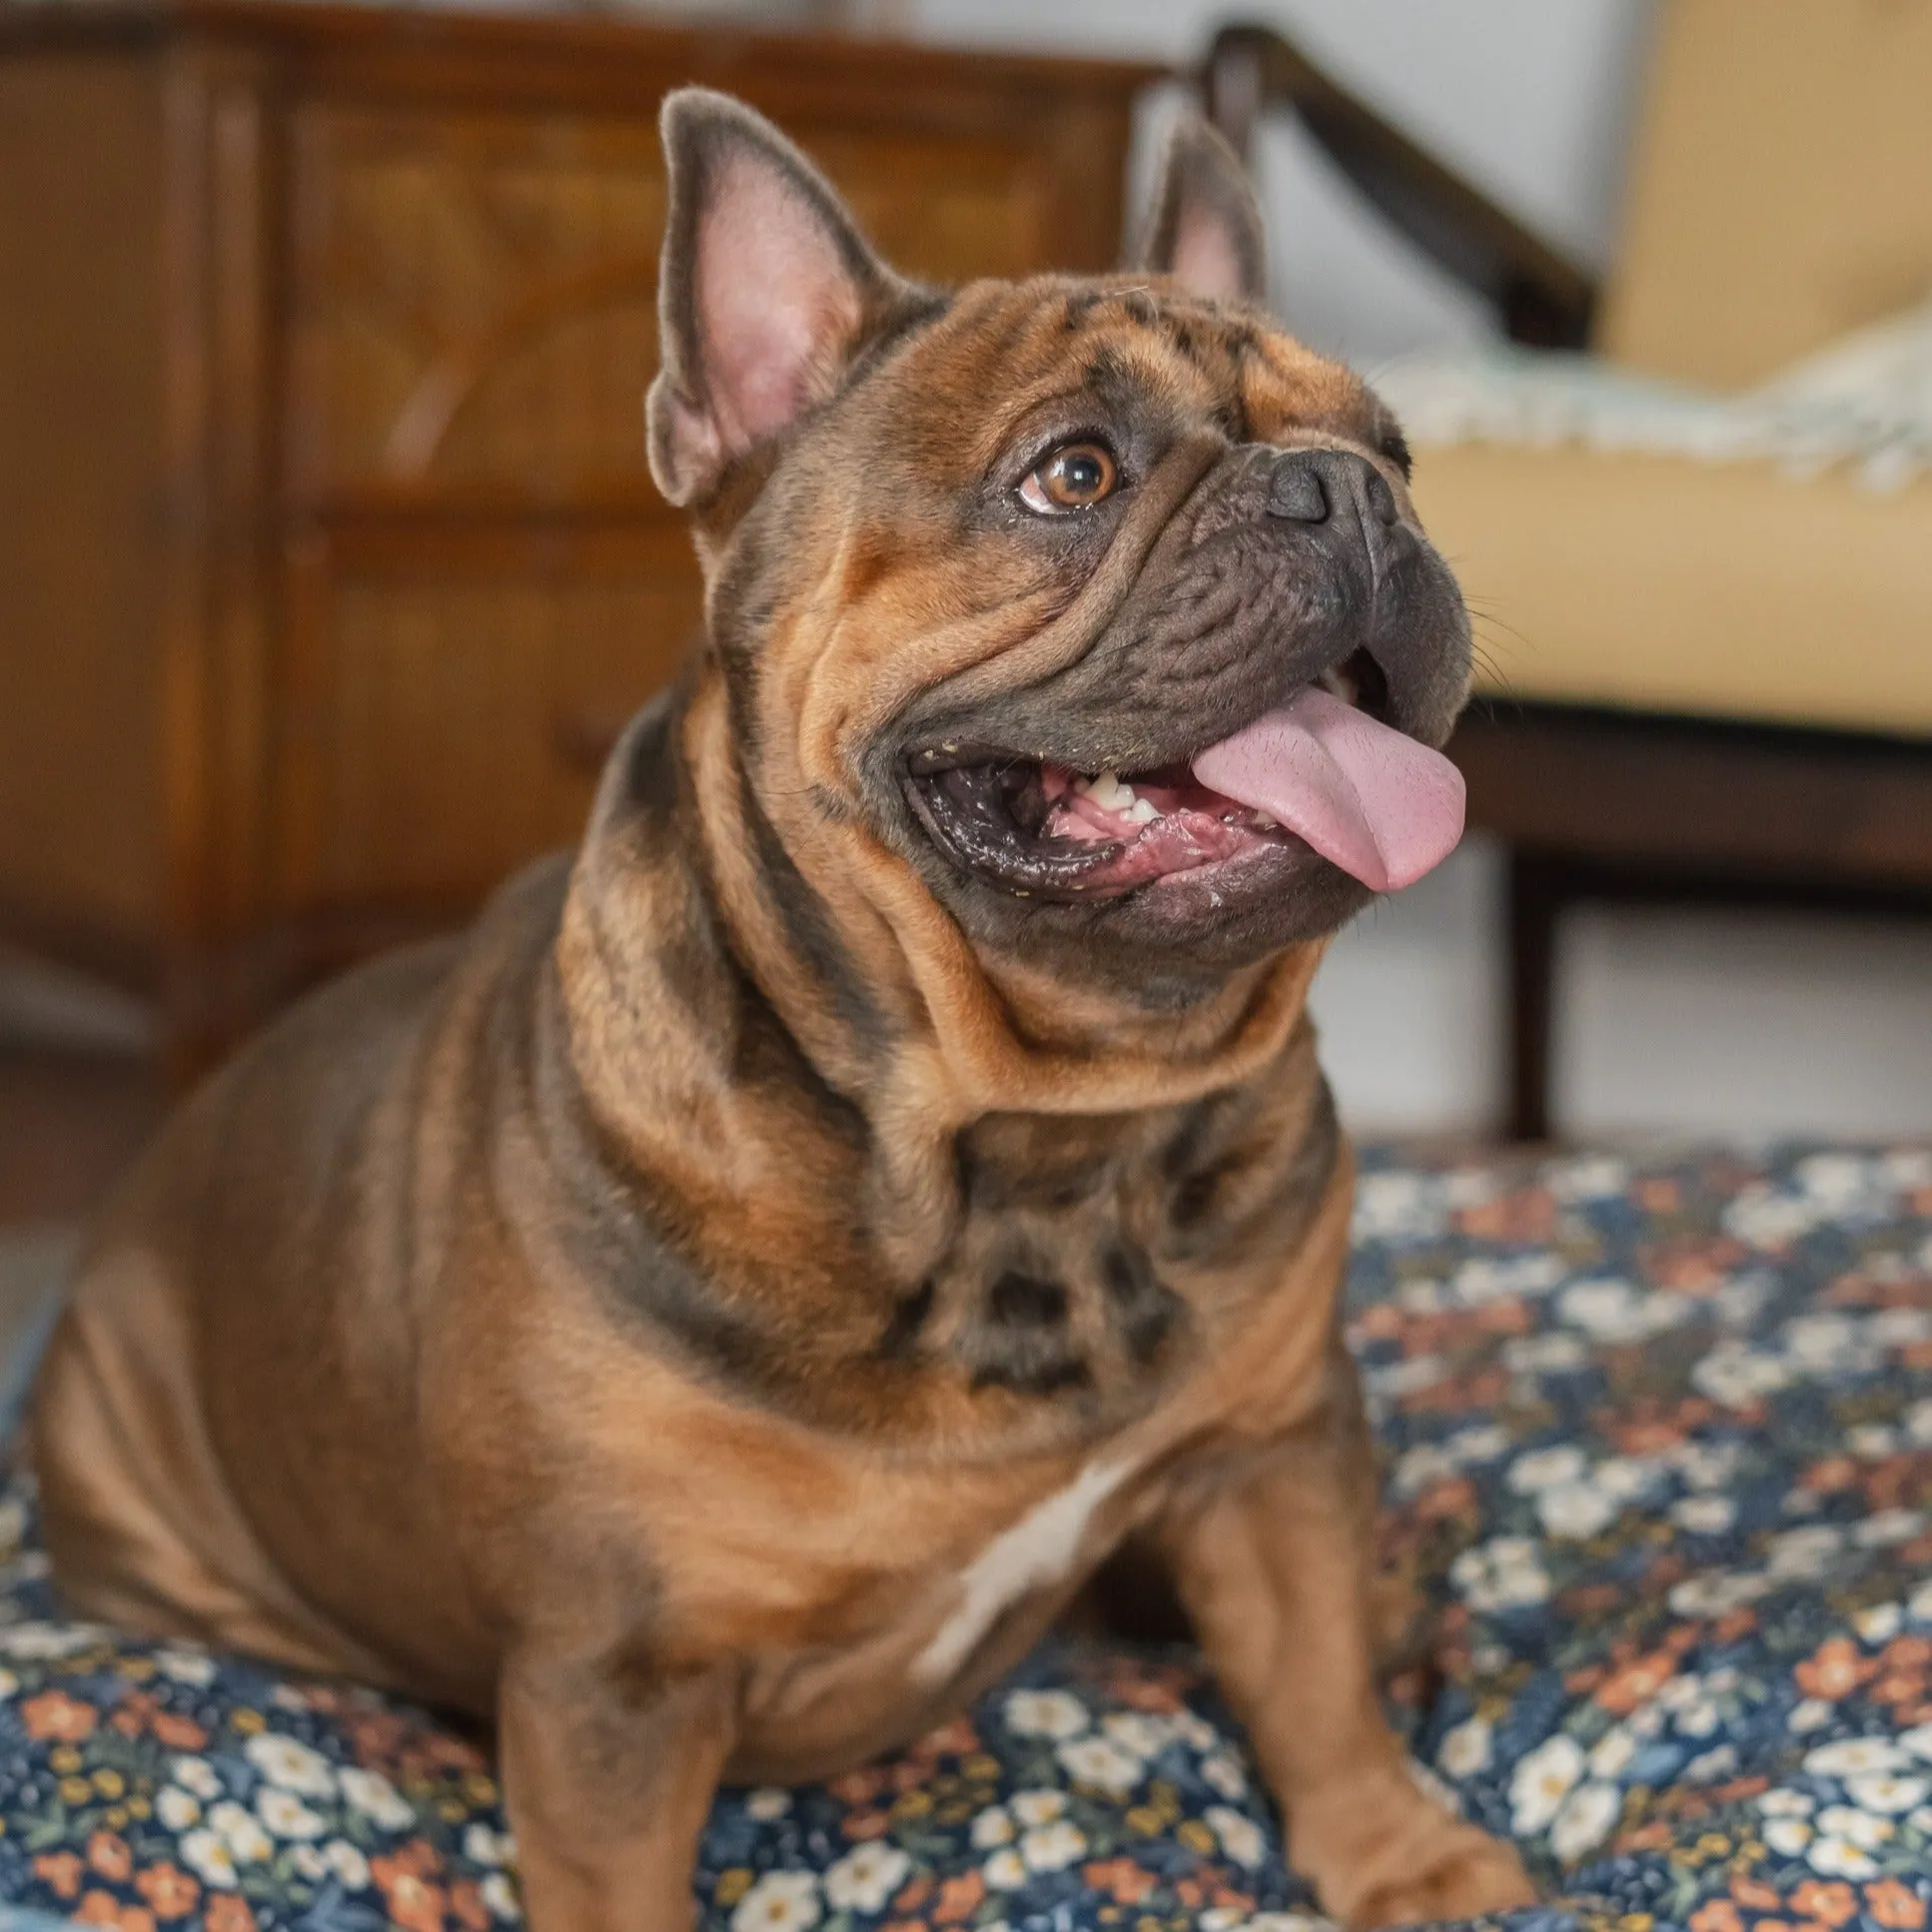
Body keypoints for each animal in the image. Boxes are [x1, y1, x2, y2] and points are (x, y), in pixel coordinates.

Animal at [30, 87, 1537, 1916]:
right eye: (1072, 472)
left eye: (1394, 452)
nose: (1340, 491)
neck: (1037, 1142)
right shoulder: (620, 1677)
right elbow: (615, 1883)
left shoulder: (1270, 1453)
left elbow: (1309, 1671)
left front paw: (1400, 1852)